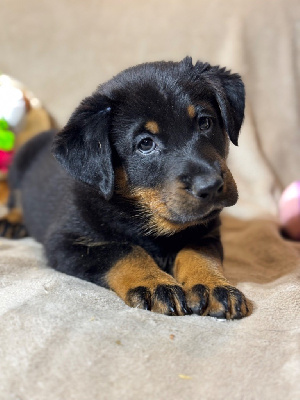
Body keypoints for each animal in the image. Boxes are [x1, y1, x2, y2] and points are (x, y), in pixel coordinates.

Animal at [0, 57, 250, 318]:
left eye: (205, 122)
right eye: (146, 144)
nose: (210, 186)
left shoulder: (206, 232)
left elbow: (199, 253)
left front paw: (214, 286)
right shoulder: (65, 242)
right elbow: (124, 250)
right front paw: (155, 283)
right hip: (19, 165)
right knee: (15, 197)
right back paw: (12, 222)